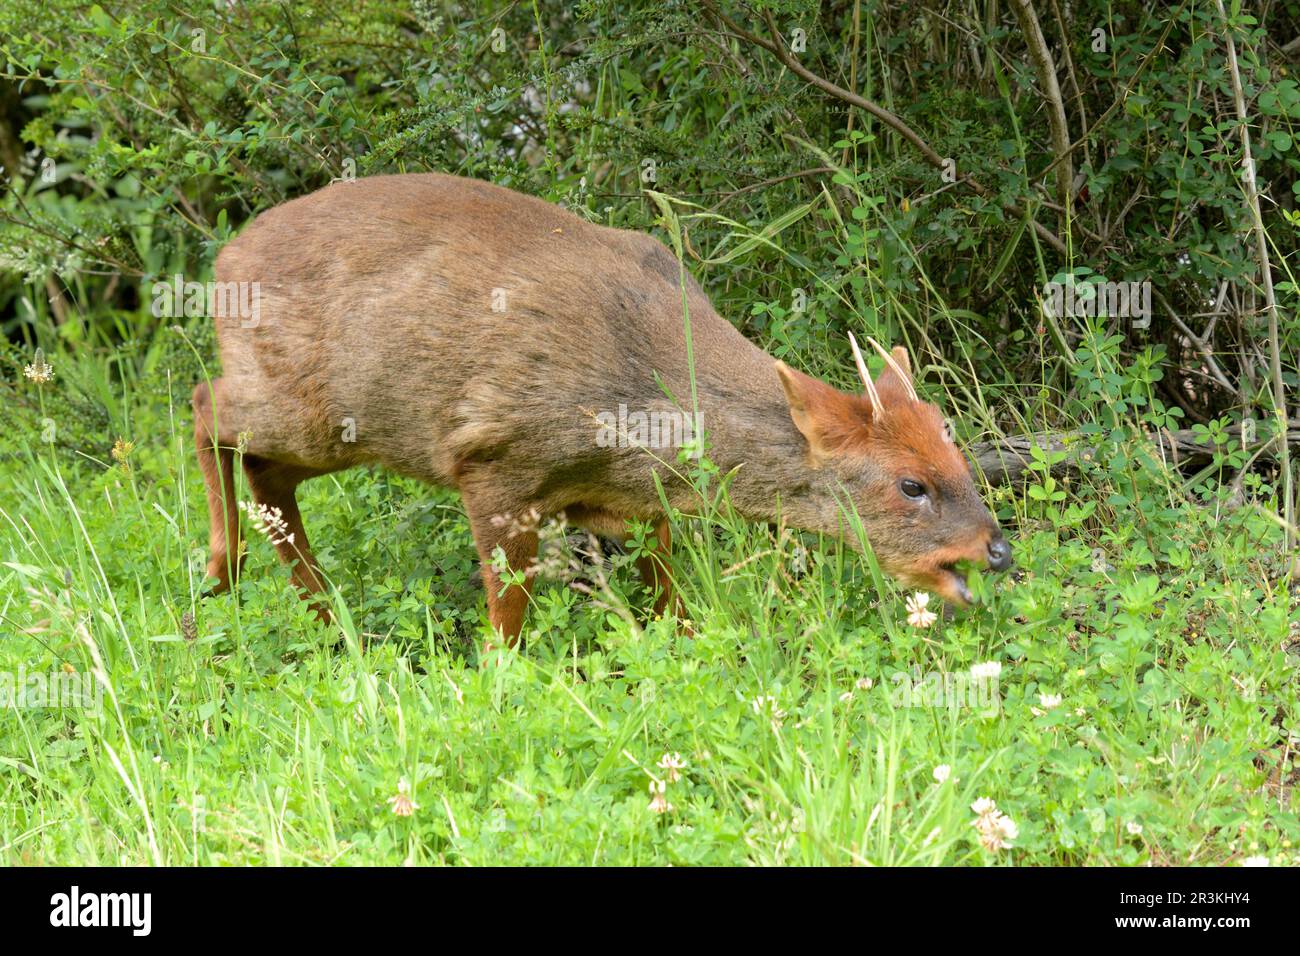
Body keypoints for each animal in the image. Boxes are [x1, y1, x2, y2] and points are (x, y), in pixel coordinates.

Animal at [192, 175, 1008, 647]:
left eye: (956, 455)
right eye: (911, 485)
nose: (997, 548)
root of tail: (224, 260)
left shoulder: (624, 500)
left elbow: (668, 590)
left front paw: (686, 646)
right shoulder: (492, 460)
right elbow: (507, 613)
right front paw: (495, 683)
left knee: (265, 472)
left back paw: (325, 618)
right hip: (309, 406)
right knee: (206, 408)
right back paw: (222, 569)